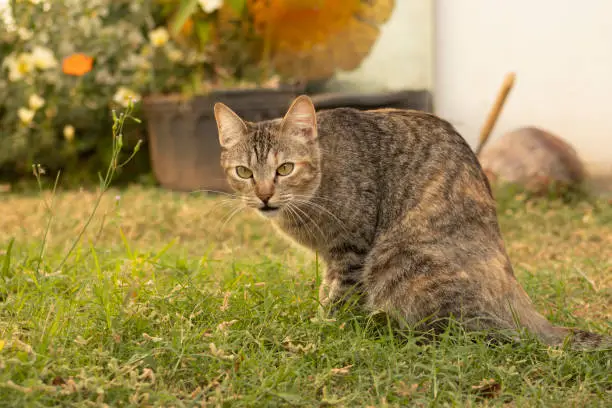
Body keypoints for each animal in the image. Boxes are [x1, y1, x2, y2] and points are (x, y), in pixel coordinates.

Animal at [213, 94, 608, 350]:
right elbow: (328, 288)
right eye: (244, 172)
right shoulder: (331, 257)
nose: (264, 196)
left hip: (399, 258)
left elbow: (340, 295)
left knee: (472, 333)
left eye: (285, 168)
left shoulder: (353, 249)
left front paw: (327, 328)